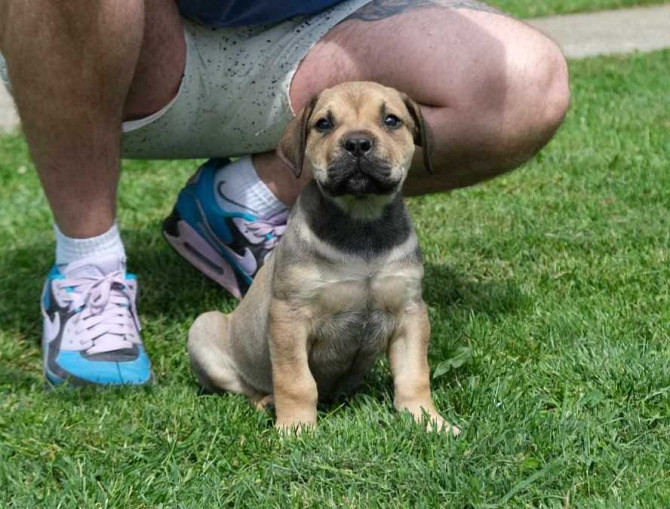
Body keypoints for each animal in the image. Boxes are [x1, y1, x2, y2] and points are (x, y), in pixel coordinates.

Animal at [189, 81, 462, 434]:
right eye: (324, 124)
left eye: (391, 120)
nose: (357, 144)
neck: (361, 222)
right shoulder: (289, 316)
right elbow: (296, 380)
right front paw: (296, 429)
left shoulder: (410, 312)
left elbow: (414, 375)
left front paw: (428, 421)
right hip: (203, 329)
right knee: (244, 387)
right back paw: (268, 402)